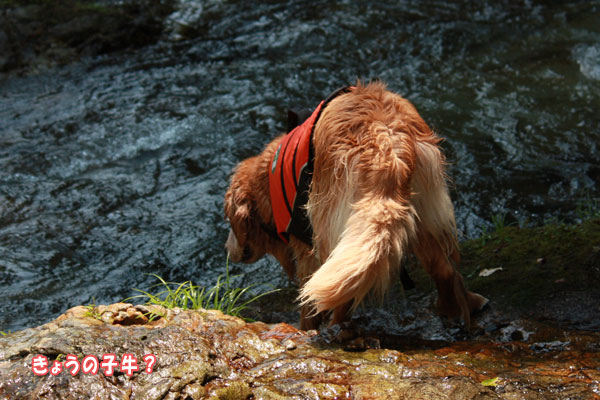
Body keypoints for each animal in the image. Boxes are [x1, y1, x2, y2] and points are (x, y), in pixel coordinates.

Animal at [225, 81, 488, 332]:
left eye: (230, 223)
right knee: (445, 270)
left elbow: (308, 305)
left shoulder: (306, 248)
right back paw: (458, 307)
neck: (267, 181)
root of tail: (388, 143)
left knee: (341, 294)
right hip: (422, 215)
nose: (228, 251)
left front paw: (306, 328)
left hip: (331, 228)